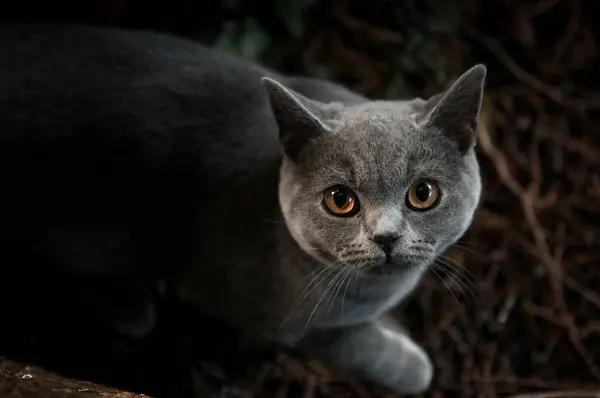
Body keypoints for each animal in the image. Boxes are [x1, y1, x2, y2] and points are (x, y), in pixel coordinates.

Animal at [0, 23, 486, 394]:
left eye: (423, 193)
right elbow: (354, 346)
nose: (386, 237)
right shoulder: (277, 316)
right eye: (340, 200)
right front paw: (415, 365)